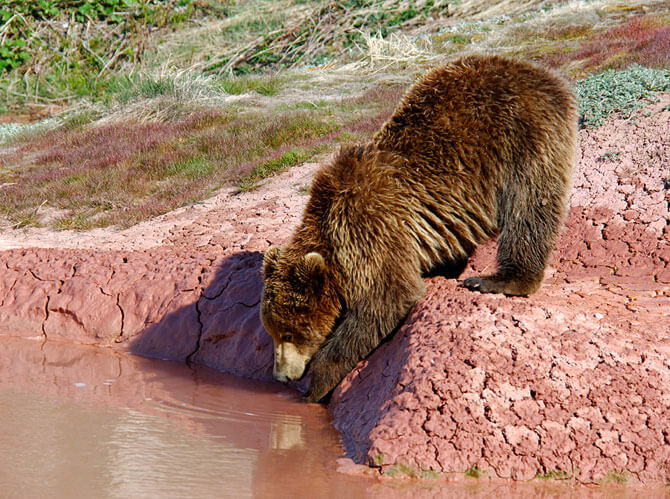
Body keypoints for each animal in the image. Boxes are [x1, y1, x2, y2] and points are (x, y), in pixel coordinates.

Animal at [260, 54, 580, 402]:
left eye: (289, 332)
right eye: (272, 330)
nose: (280, 376)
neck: (331, 233)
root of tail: (539, 73)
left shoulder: (369, 224)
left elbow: (387, 296)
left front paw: (315, 384)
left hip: (522, 134)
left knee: (530, 207)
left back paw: (498, 280)